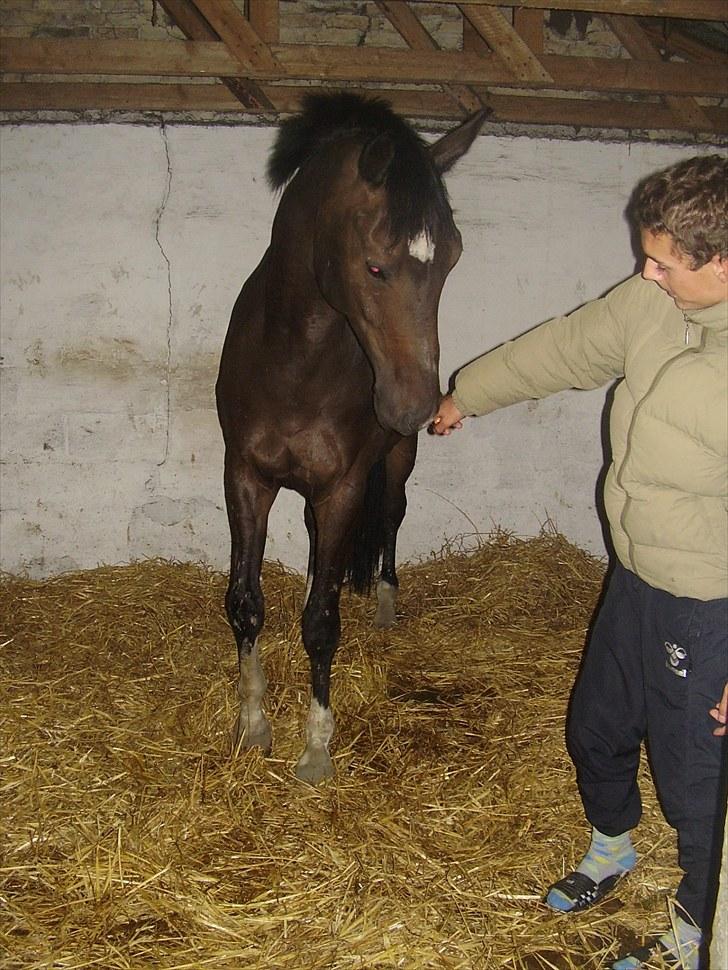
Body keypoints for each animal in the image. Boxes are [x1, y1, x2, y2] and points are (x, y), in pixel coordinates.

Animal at [218, 94, 490, 784]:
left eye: (452, 258)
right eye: (375, 264)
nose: (415, 405)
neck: (294, 359)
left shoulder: (343, 487)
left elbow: (321, 623)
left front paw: (316, 747)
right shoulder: (246, 479)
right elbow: (246, 603)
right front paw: (253, 725)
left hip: (393, 466)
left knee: (389, 519)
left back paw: (386, 605)